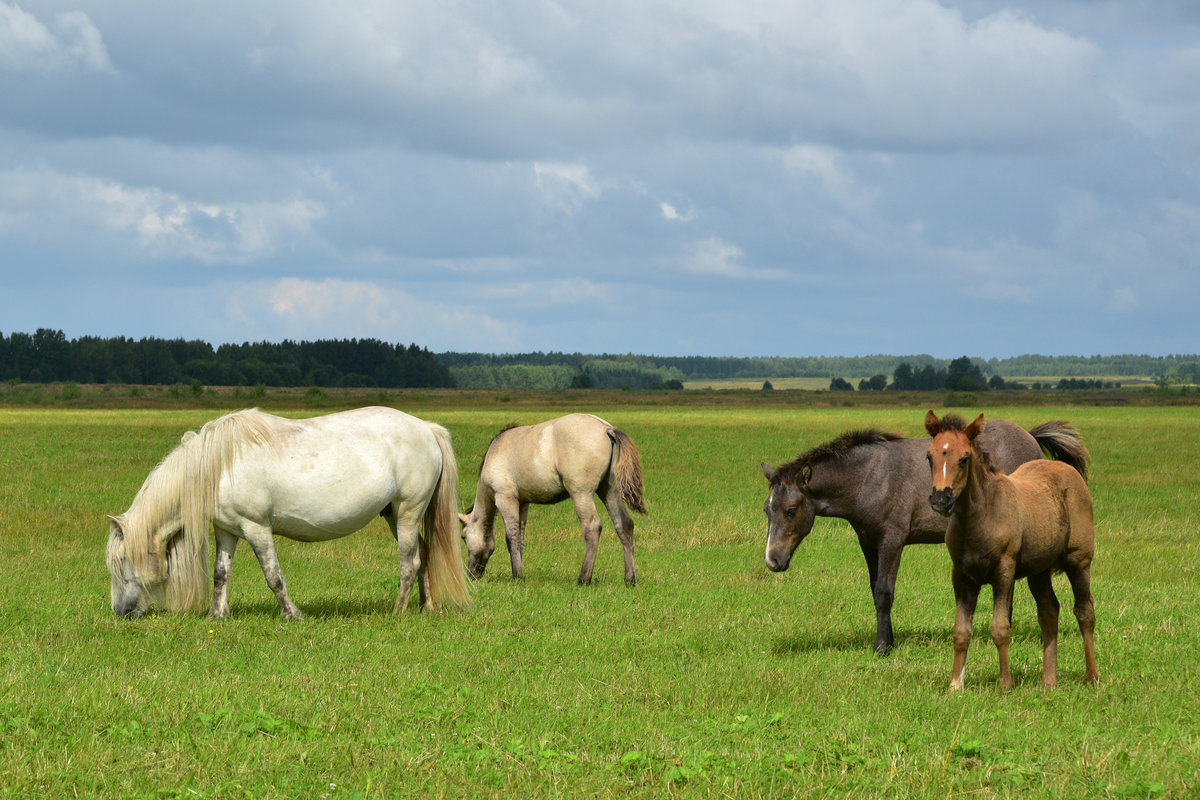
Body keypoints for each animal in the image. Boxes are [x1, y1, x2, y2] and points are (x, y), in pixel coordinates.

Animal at [104, 407, 468, 618]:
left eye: (121, 563)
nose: (120, 611)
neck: (217, 466)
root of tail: (428, 428)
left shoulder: (256, 529)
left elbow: (273, 575)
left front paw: (292, 614)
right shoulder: (227, 531)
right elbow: (221, 574)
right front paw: (216, 616)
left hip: (407, 512)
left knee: (411, 562)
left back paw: (398, 612)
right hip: (393, 514)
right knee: (424, 554)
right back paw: (427, 607)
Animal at [458, 417, 648, 585]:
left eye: (463, 537)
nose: (471, 574)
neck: (496, 452)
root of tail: (606, 428)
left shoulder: (505, 499)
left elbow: (511, 537)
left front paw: (518, 576)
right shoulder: (523, 504)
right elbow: (520, 538)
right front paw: (518, 571)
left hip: (581, 494)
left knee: (592, 527)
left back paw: (584, 578)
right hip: (609, 492)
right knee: (624, 525)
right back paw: (630, 579)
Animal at [763, 417, 1094, 652]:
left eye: (791, 510)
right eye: (767, 509)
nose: (772, 560)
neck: (869, 477)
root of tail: (1029, 435)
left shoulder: (892, 540)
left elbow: (884, 591)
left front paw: (882, 647)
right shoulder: (868, 541)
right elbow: (874, 589)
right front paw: (889, 639)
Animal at [926, 410, 1099, 690]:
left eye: (964, 459)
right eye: (929, 456)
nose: (941, 499)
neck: (980, 518)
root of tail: (1067, 469)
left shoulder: (1003, 571)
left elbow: (1000, 627)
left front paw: (1005, 683)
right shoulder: (961, 576)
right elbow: (961, 631)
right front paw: (955, 686)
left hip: (1079, 562)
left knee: (1085, 612)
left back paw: (1093, 676)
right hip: (1038, 571)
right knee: (1049, 612)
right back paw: (1048, 681)